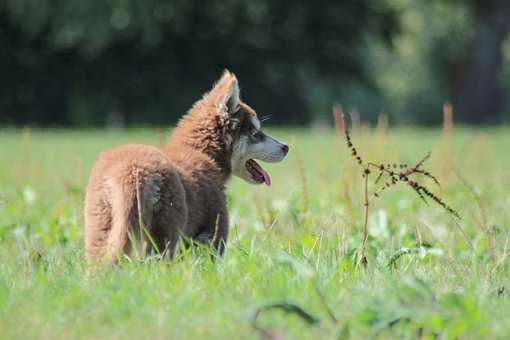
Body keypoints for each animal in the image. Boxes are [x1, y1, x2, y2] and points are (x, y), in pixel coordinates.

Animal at [85, 71, 288, 262]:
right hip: (164, 237)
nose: (286, 147)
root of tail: (130, 171)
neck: (201, 152)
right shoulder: (214, 233)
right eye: (255, 133)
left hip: (103, 230)